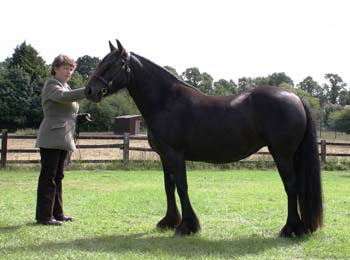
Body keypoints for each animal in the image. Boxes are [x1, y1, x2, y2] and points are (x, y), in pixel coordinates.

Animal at [85, 39, 322, 237]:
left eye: (111, 65)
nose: (89, 91)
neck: (166, 101)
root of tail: (295, 97)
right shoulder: (164, 156)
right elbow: (168, 186)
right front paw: (168, 221)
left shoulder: (175, 154)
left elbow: (182, 186)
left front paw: (187, 226)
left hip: (282, 154)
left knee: (291, 186)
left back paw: (290, 229)